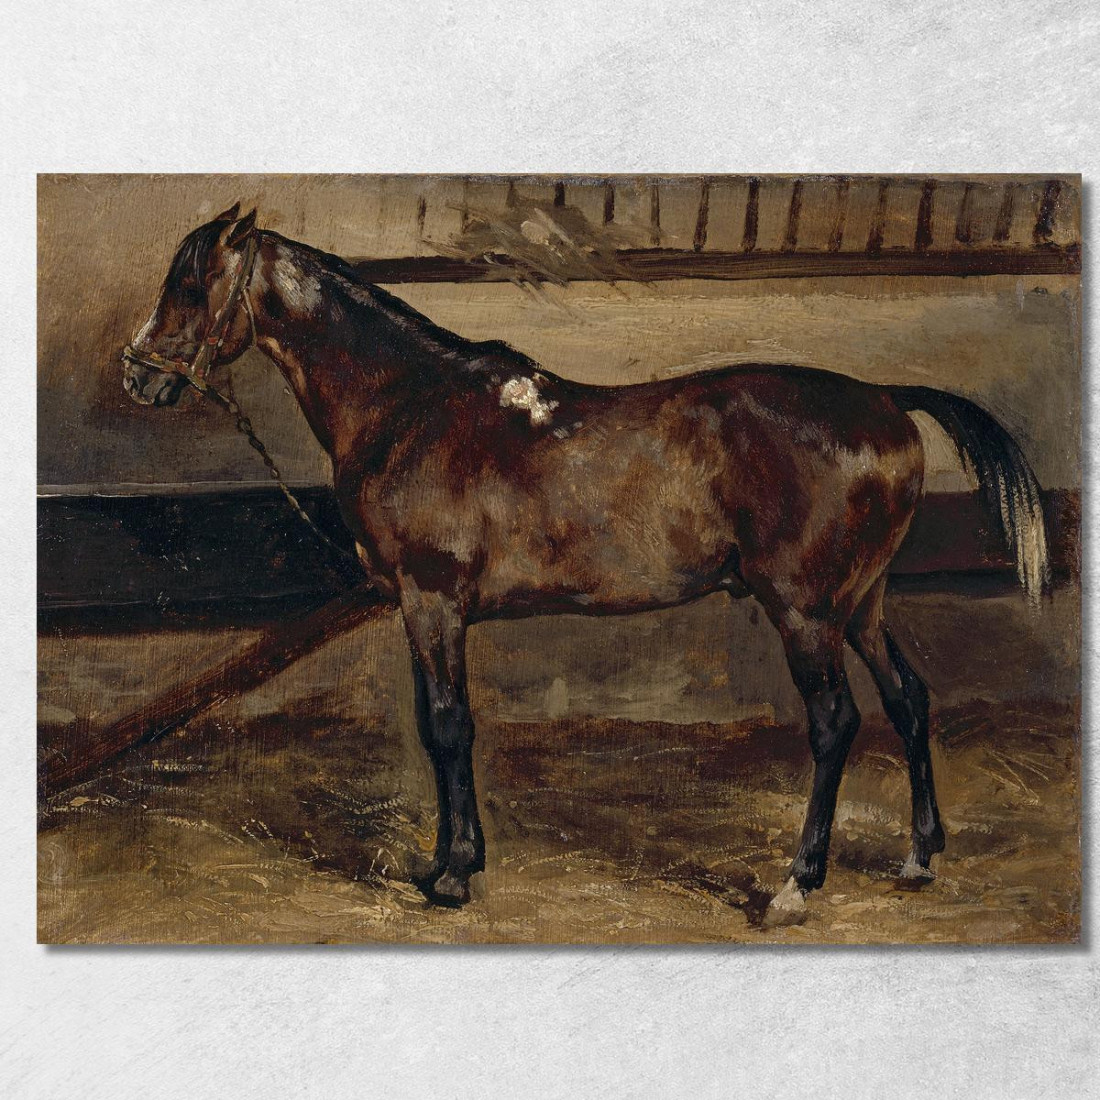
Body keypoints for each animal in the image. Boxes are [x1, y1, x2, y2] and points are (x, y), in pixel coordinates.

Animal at [121, 204, 1051, 926]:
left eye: (191, 288)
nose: (136, 376)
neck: (409, 404)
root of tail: (887, 399)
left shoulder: (432, 601)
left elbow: (447, 726)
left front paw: (453, 877)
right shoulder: (423, 608)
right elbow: (435, 725)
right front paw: (445, 862)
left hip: (805, 610)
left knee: (836, 722)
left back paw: (795, 885)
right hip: (862, 603)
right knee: (909, 701)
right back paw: (920, 857)